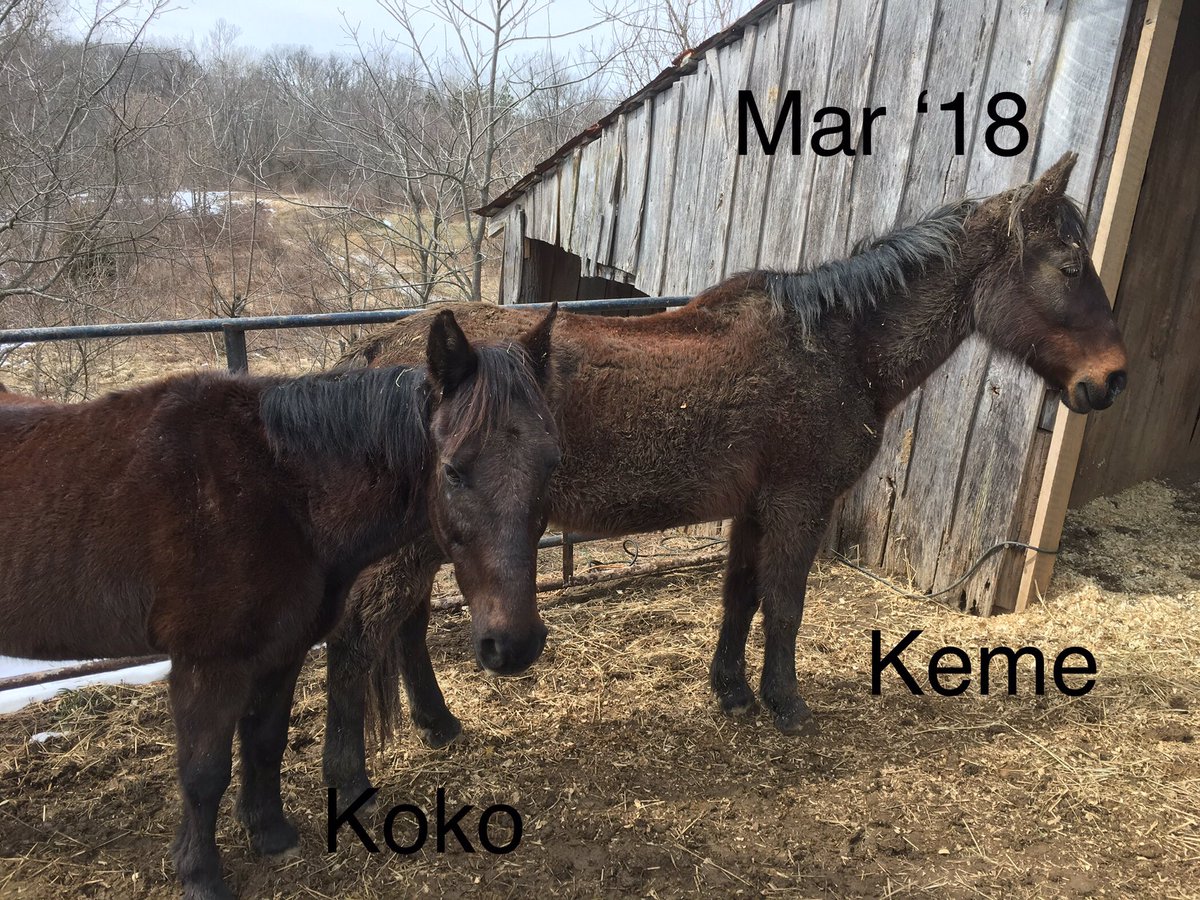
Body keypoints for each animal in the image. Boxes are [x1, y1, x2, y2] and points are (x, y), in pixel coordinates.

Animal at [0, 308, 560, 900]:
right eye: (452, 470)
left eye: (552, 465)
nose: (514, 644)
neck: (276, 487)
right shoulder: (208, 664)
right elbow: (204, 773)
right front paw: (201, 875)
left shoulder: (281, 649)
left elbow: (266, 741)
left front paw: (269, 833)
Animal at [320, 152, 1128, 801]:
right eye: (1067, 267)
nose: (1111, 381)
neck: (836, 348)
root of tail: (379, 352)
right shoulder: (799, 500)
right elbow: (786, 605)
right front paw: (787, 704)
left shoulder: (755, 506)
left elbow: (741, 596)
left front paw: (733, 691)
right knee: (359, 636)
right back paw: (350, 776)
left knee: (406, 626)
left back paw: (439, 724)